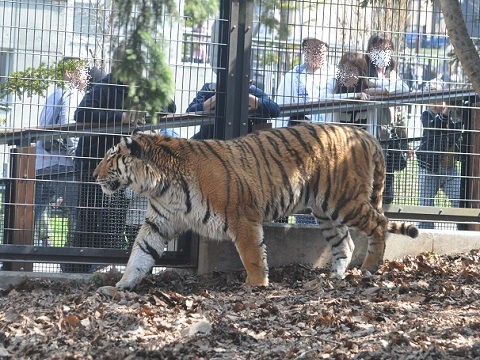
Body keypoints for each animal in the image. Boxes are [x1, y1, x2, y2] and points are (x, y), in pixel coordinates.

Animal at [93, 124, 416, 290]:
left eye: (109, 158)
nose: (94, 175)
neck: (160, 186)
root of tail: (364, 134)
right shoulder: (158, 223)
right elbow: (140, 254)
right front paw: (122, 284)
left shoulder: (242, 217)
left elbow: (252, 255)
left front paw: (257, 285)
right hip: (325, 211)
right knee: (344, 243)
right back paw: (335, 277)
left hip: (345, 201)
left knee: (380, 225)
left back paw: (370, 268)